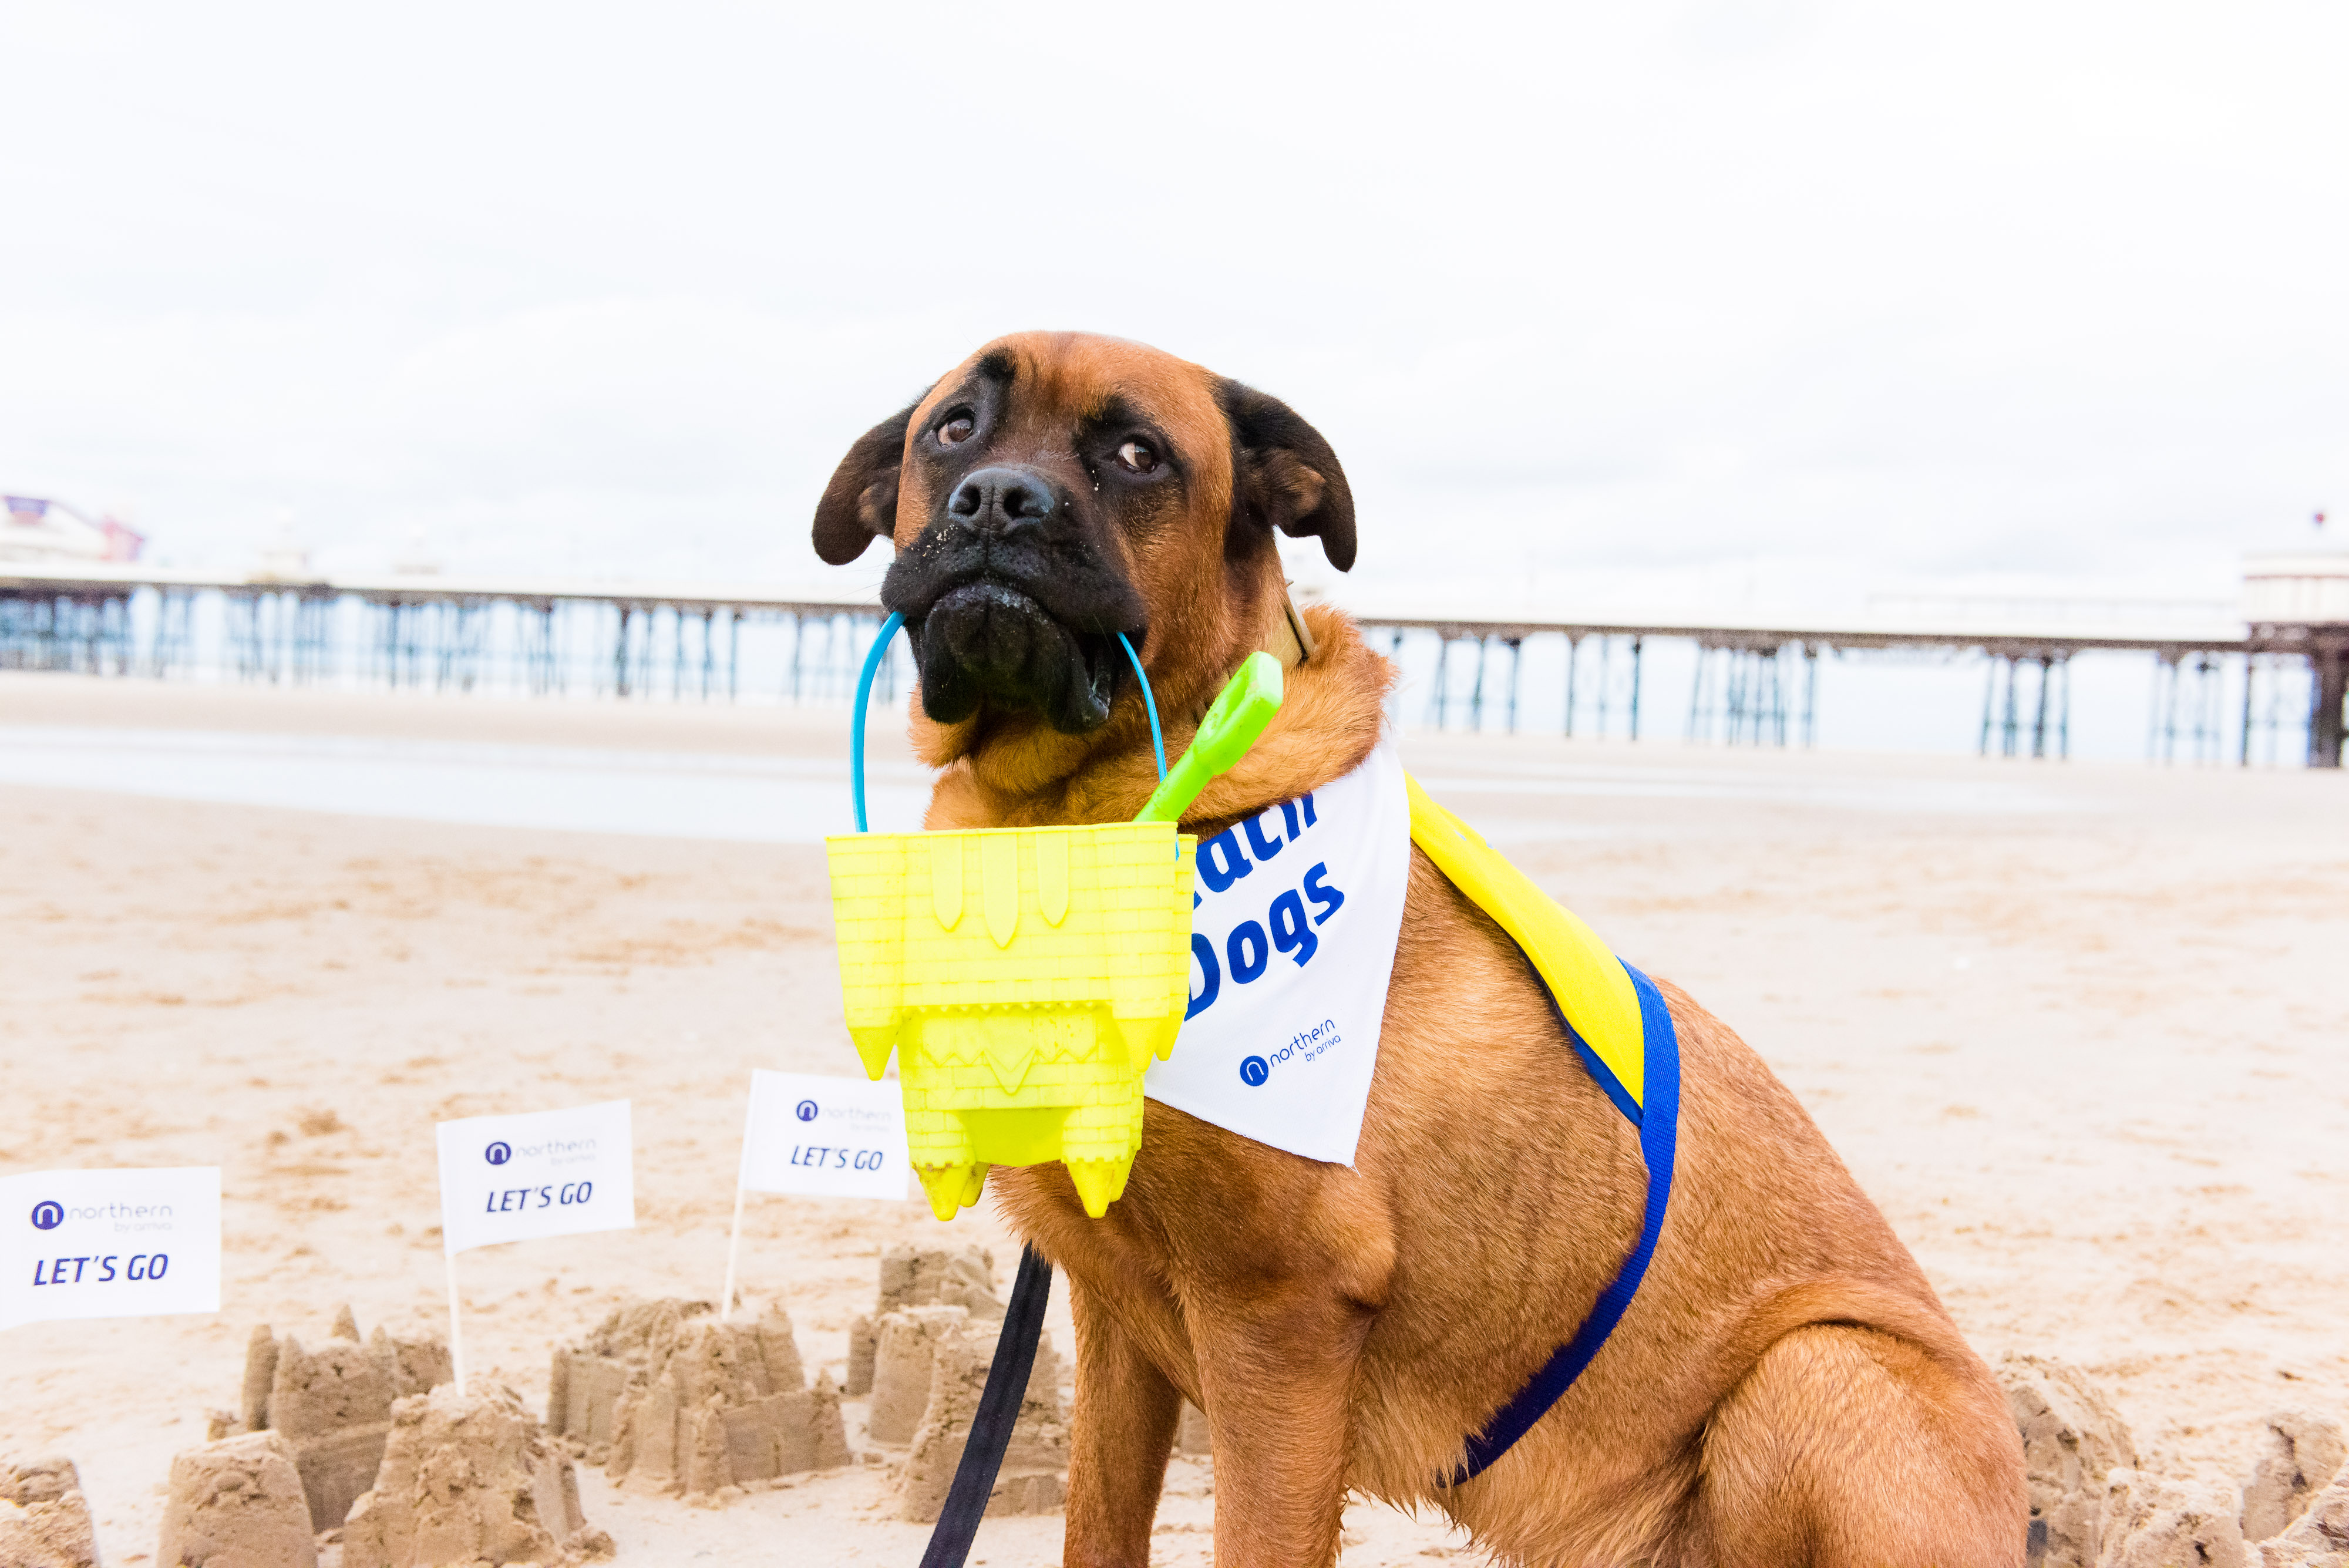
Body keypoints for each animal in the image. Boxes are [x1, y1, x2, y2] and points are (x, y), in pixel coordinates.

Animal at [817, 333, 2030, 1568]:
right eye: (953, 428)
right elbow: (1098, 1525)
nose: (997, 500)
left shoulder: (1278, 1323)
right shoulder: (1115, 1318)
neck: (1076, 821)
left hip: (1819, 1368)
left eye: (1138, 453)